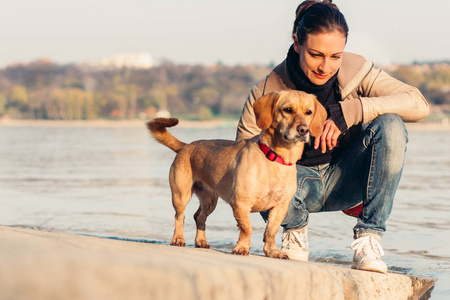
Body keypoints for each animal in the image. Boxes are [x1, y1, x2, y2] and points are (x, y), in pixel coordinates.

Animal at [148, 89, 326, 258]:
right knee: (180, 217)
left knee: (199, 217)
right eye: (287, 110)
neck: (275, 158)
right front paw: (242, 248)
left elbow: (271, 231)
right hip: (181, 195)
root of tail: (185, 146)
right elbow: (247, 229)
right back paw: (178, 239)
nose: (303, 130)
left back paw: (201, 241)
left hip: (209, 200)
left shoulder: (280, 207)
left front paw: (272, 251)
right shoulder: (241, 203)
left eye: (309, 112)